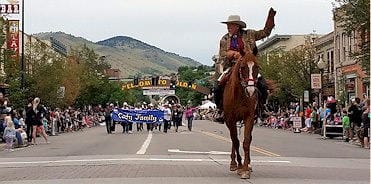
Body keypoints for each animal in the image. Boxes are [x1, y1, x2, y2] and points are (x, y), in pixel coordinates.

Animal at [224, 51, 258, 179]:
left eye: (257, 67)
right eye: (243, 67)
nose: (251, 91)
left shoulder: (249, 117)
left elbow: (246, 142)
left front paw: (245, 168)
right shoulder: (231, 119)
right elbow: (236, 141)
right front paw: (239, 165)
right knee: (233, 139)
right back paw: (233, 163)